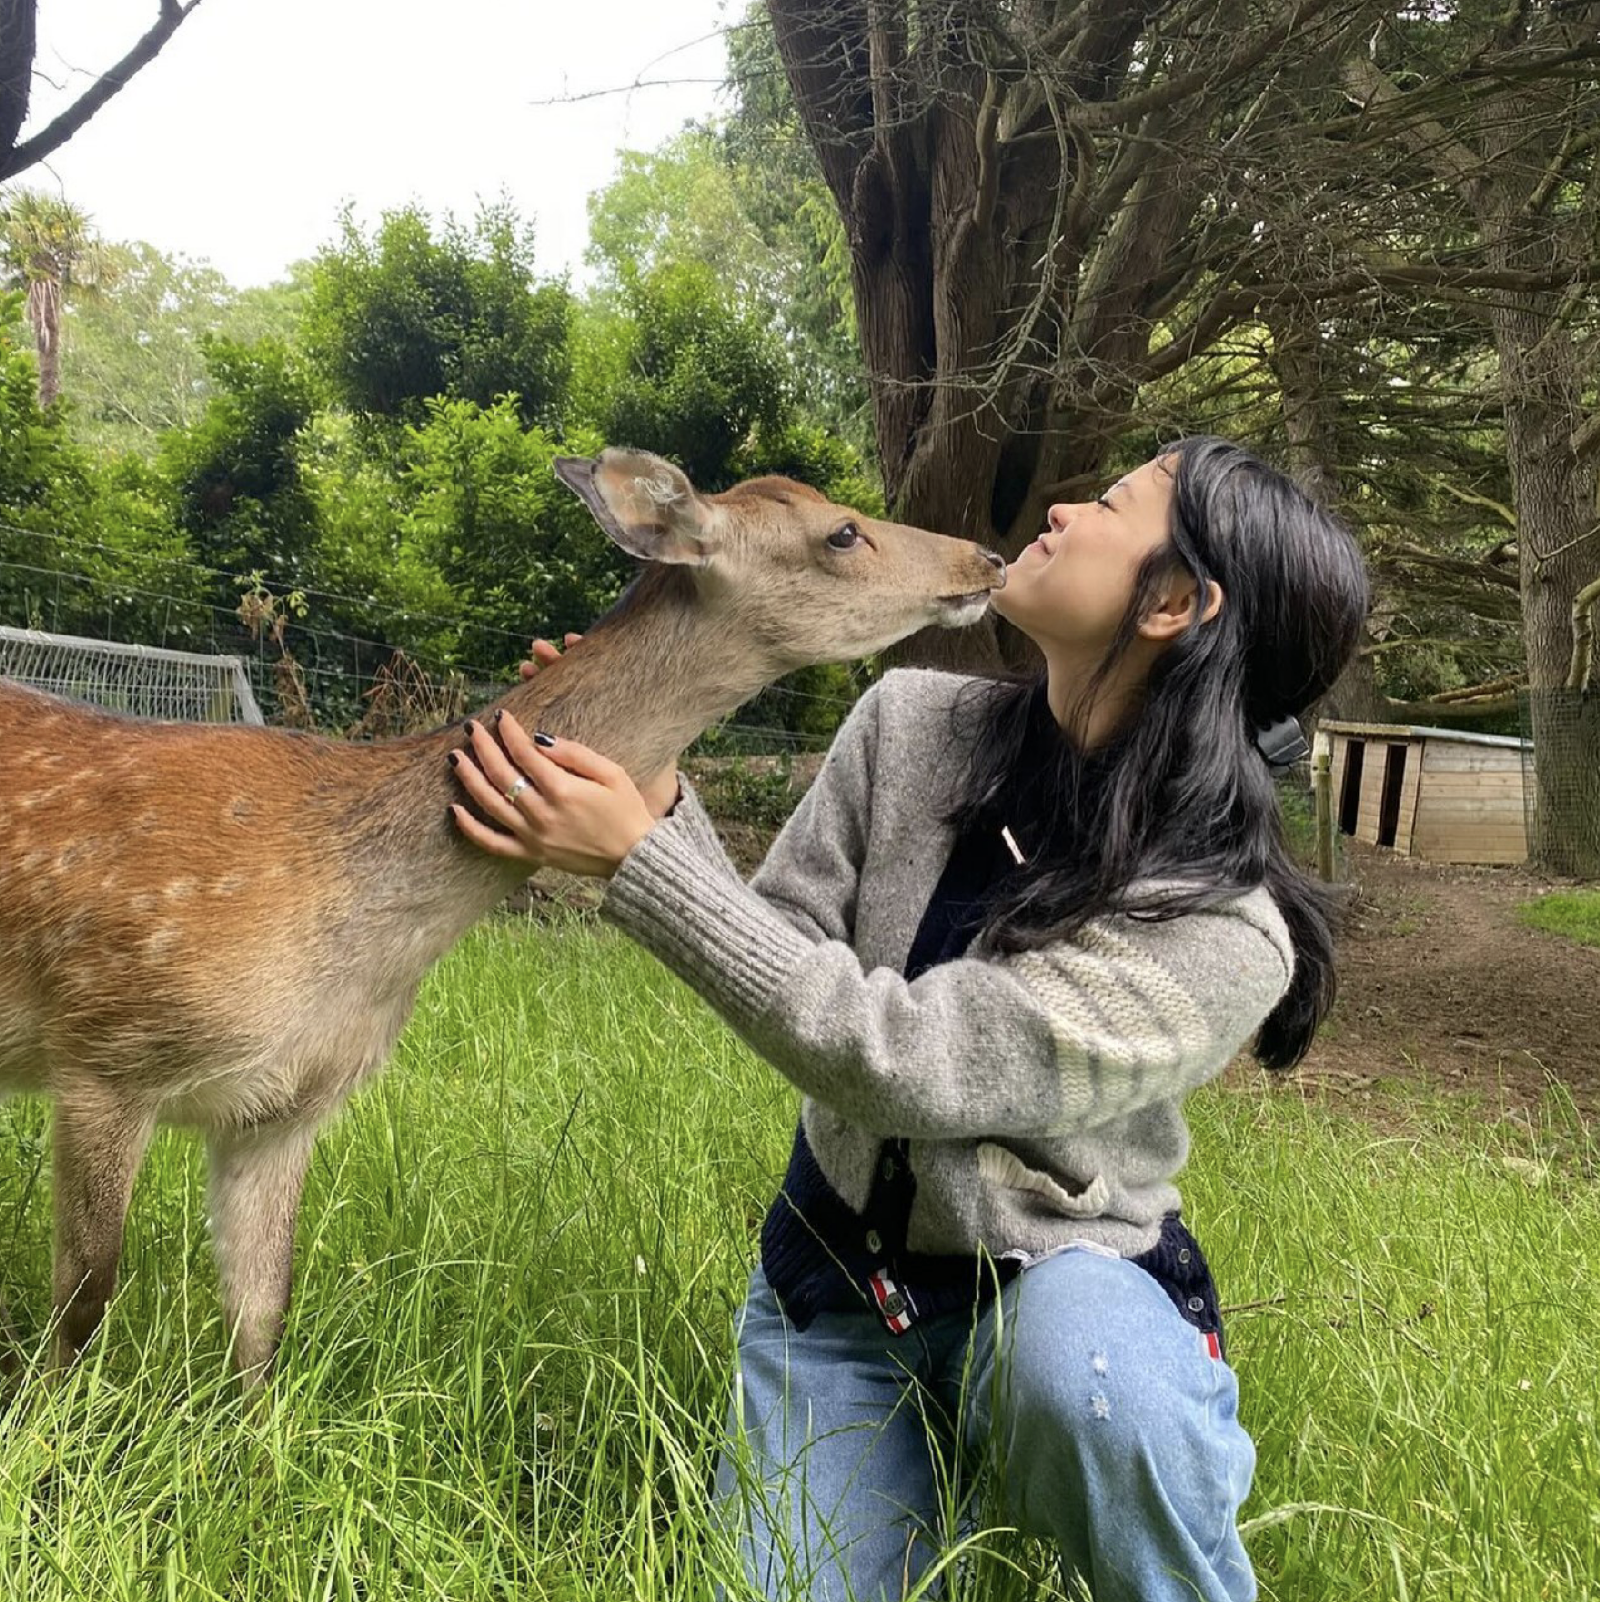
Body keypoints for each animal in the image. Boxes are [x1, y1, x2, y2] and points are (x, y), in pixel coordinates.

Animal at [0, 445, 999, 1384]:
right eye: (842, 533)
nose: (985, 556)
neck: (349, 928)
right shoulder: (106, 1047)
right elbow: (82, 1303)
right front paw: (54, 1432)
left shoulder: (286, 1106)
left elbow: (261, 1319)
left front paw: (254, 1442)